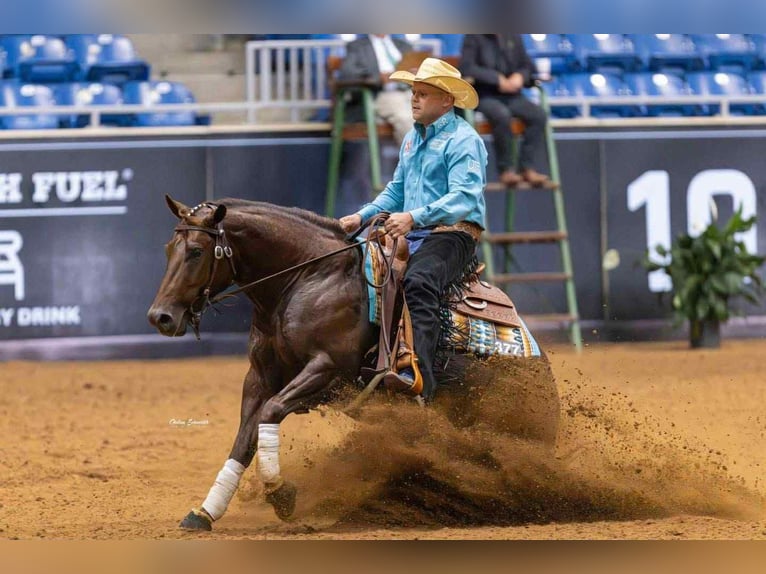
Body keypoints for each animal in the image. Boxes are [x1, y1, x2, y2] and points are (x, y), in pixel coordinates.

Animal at [147, 195, 559, 531]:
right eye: (168, 248)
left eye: (196, 251)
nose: (160, 317)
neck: (308, 278)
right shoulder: (260, 377)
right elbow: (244, 439)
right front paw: (205, 511)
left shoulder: (328, 372)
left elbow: (271, 412)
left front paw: (281, 495)